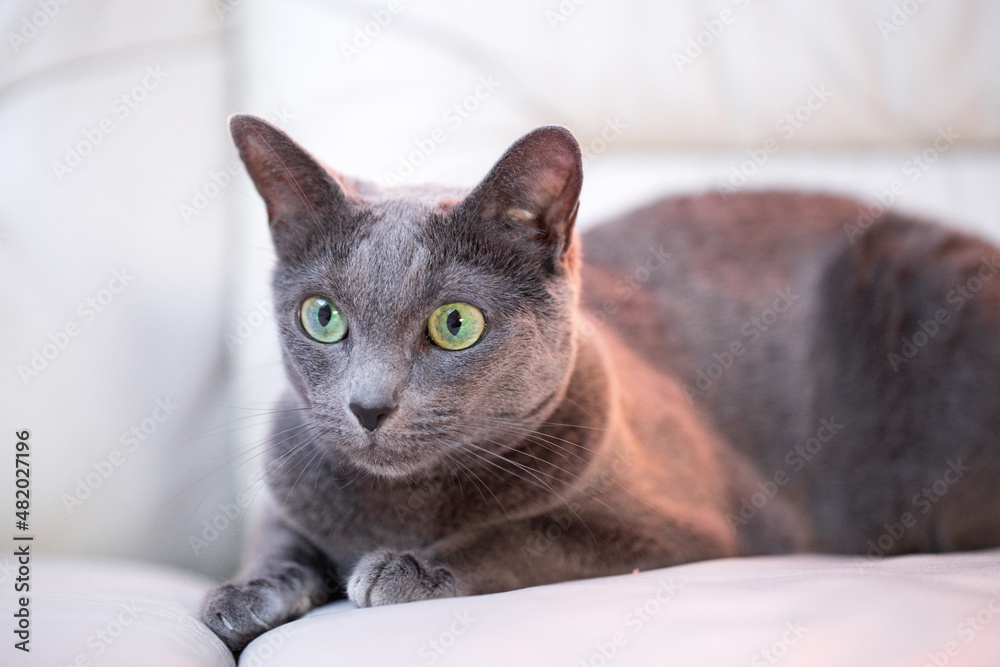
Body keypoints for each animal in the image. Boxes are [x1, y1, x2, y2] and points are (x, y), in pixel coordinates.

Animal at [201, 115, 1000, 652]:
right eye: (323, 316)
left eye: (455, 324)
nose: (368, 406)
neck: (399, 504)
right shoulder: (289, 482)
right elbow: (278, 538)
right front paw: (242, 595)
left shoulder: (682, 523)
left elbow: (528, 533)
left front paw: (411, 568)